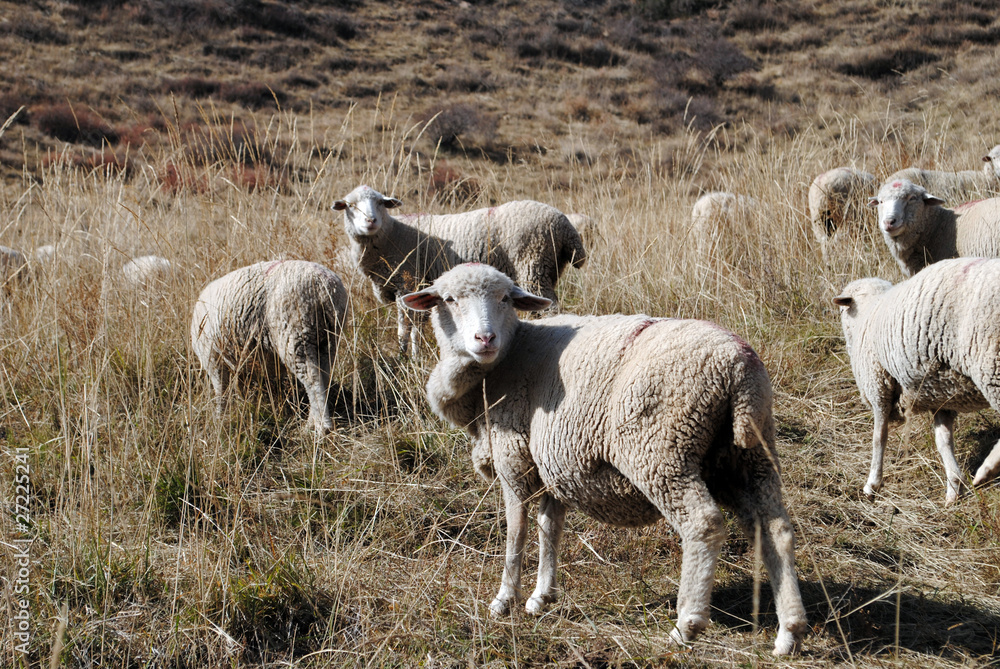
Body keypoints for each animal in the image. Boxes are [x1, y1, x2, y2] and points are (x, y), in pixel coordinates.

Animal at [191, 260, 348, 436]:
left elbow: (221, 391)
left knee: (312, 379)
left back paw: (321, 427)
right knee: (324, 376)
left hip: (296, 333)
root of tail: (325, 287)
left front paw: (220, 418)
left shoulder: (213, 358)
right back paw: (312, 422)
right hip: (328, 339)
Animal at [332, 185, 586, 354]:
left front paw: (407, 355)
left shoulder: (408, 281)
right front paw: (414, 353)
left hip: (533, 264)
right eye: (350, 206)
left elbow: (407, 324)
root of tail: (565, 225)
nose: (371, 221)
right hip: (548, 269)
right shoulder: (418, 286)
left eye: (380, 203)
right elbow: (417, 322)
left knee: (550, 309)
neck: (392, 233)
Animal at [401, 263, 808, 656]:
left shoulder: (512, 458)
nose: (485, 340)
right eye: (449, 299)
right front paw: (541, 597)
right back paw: (789, 633)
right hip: (750, 454)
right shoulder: (553, 465)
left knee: (704, 524)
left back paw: (686, 625)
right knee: (775, 529)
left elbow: (516, 532)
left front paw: (504, 600)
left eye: (505, 298)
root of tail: (738, 366)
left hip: (662, 450)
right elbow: (550, 528)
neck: (506, 359)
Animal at [833, 258, 1000, 505]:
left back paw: (987, 470)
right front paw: (954, 486)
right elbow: (943, 440)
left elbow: (878, 437)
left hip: (991, 363)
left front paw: (872, 483)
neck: (869, 312)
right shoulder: (942, 397)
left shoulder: (879, 387)